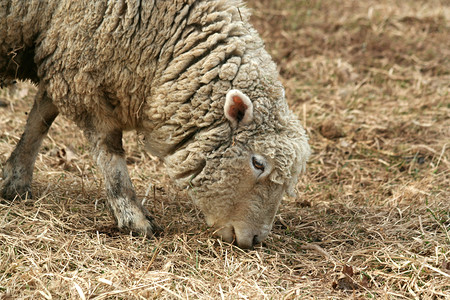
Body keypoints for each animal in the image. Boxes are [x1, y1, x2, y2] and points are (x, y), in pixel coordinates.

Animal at [0, 0, 310, 248]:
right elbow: (109, 152)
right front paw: (133, 217)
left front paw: (15, 181)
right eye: (258, 163)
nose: (256, 239)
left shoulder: (62, 55)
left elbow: (39, 120)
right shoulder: (85, 69)